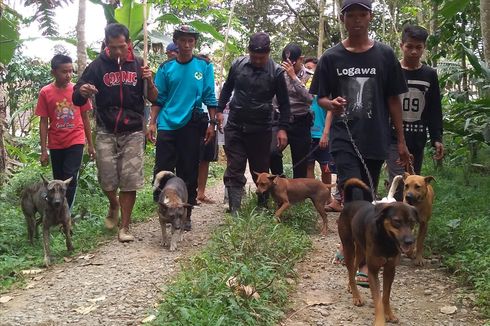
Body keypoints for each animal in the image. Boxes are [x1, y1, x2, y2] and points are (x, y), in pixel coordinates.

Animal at [338, 178, 420, 326]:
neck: (387, 241)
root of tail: (349, 203)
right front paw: (380, 321)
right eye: (396, 222)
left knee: (354, 268)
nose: (410, 242)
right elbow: (377, 300)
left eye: (412, 222)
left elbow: (385, 296)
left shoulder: (390, 270)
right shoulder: (373, 271)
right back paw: (356, 296)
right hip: (348, 247)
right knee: (350, 269)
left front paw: (389, 314)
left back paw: (351, 287)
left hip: (361, 250)